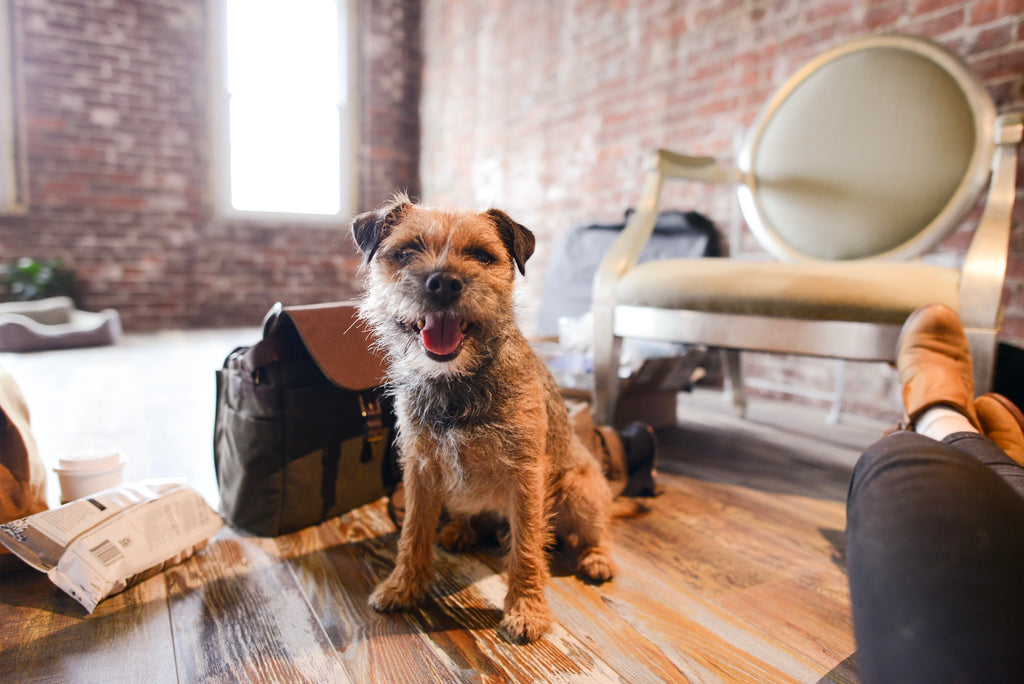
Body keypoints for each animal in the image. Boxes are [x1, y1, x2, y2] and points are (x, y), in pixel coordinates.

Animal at [352, 193, 614, 647]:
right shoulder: (421, 469)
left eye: (481, 255)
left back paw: (597, 559)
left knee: (597, 531)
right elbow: (412, 533)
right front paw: (403, 587)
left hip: (580, 488)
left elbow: (526, 547)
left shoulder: (525, 475)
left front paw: (527, 610)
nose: (443, 282)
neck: (457, 383)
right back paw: (460, 530)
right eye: (406, 251)